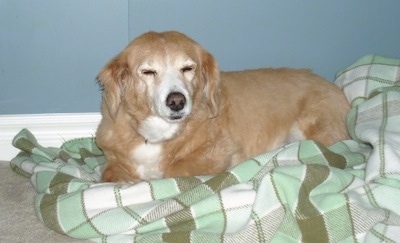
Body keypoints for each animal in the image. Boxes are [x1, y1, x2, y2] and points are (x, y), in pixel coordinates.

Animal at [95, 30, 348, 182]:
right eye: (148, 71)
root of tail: (333, 86)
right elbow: (109, 173)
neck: (157, 134)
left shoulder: (220, 152)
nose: (177, 101)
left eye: (188, 68)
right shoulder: (113, 160)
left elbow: (172, 170)